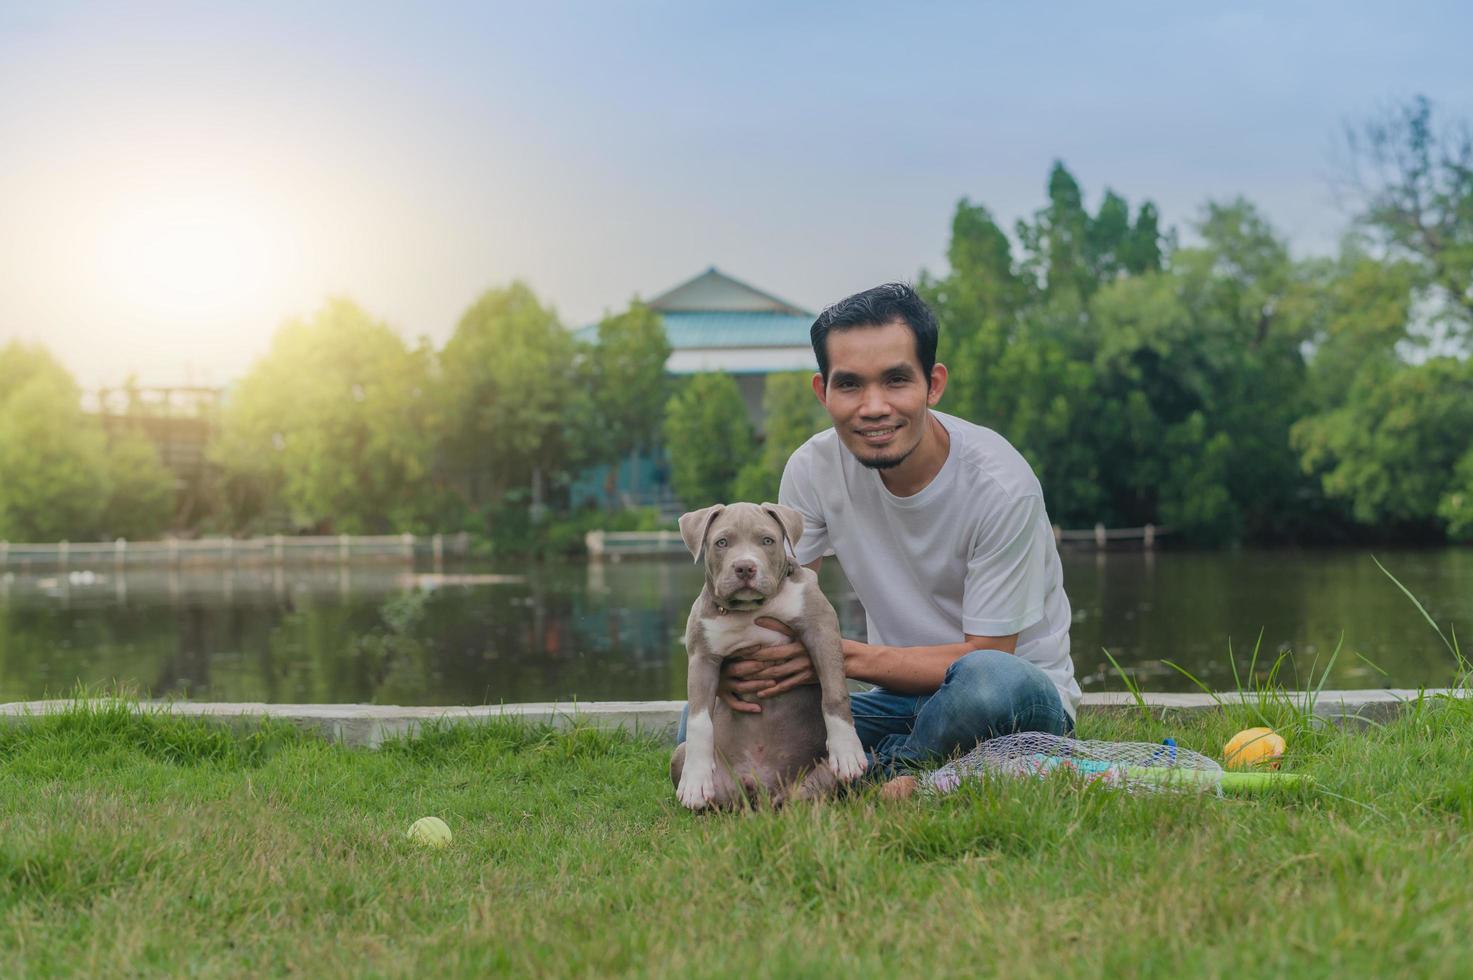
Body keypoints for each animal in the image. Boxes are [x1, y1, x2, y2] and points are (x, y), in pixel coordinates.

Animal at [674, 501, 866, 807]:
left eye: (767, 541)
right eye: (722, 542)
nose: (745, 567)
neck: (751, 609)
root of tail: (763, 786)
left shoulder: (822, 630)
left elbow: (834, 693)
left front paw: (847, 752)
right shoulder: (702, 656)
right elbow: (698, 719)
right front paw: (694, 781)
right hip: (685, 759)